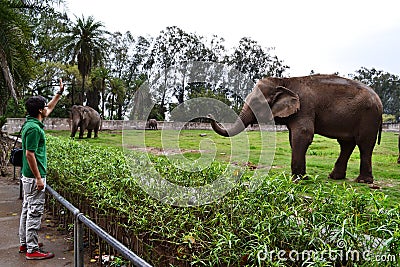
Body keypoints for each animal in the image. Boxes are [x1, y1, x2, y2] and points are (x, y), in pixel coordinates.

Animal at [208, 75, 382, 184]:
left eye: (257, 104)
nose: (209, 114)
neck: (284, 81)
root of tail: (379, 102)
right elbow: (293, 137)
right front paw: (302, 177)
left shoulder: (305, 107)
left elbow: (303, 134)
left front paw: (296, 180)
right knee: (346, 143)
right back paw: (335, 177)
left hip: (369, 118)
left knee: (364, 144)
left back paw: (362, 181)